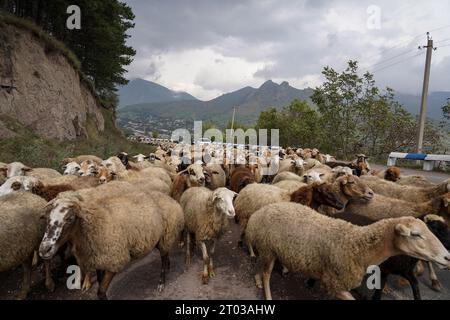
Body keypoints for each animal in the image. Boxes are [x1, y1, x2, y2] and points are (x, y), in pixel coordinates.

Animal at [38, 189, 185, 298]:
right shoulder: (98, 260)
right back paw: (168, 265)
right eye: (47, 218)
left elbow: (101, 292)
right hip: (160, 238)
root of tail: (170, 199)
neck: (93, 225)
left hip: (166, 234)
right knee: (165, 254)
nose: (44, 249)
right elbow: (99, 283)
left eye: (70, 218)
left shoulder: (114, 260)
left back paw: (161, 283)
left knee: (163, 257)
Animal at [248, 202, 450, 300]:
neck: (356, 244)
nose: (447, 257)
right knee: (266, 274)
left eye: (431, 230)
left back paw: (257, 279)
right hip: (269, 248)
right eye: (415, 234)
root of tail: (260, 211)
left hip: (268, 250)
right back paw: (267, 294)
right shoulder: (336, 283)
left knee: (260, 264)